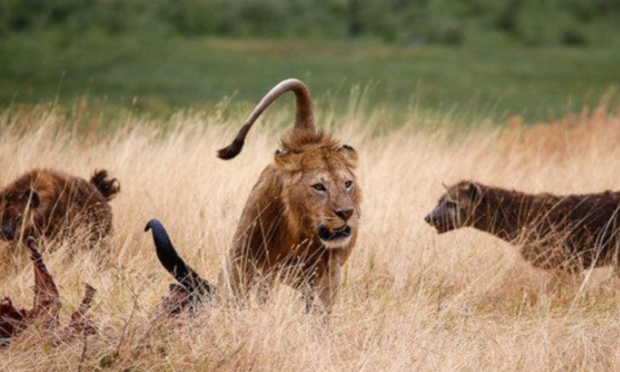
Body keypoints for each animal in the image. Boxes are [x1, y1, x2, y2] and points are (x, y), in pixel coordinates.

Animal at [147, 79, 358, 314]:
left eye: (347, 184)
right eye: (319, 187)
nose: (347, 212)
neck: (299, 231)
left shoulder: (327, 272)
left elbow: (319, 310)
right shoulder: (245, 261)